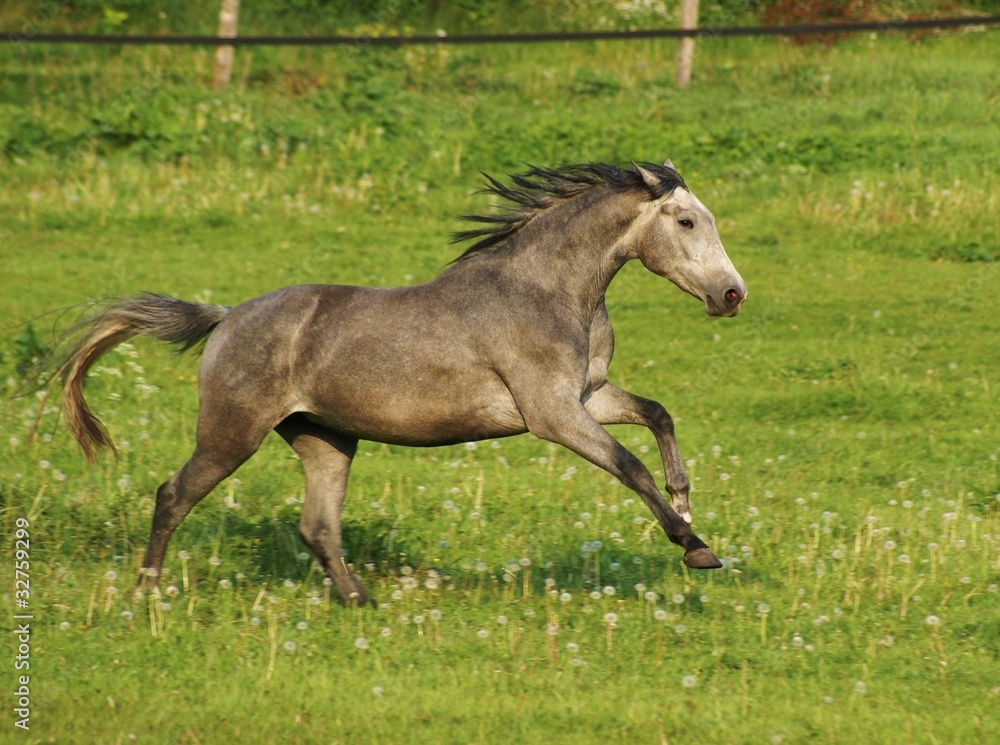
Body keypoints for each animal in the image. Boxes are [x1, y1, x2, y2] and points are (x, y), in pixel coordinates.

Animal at [56, 160, 747, 605]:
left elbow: (658, 414)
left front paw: (686, 503)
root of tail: (225, 319)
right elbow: (629, 465)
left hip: (326, 440)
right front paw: (694, 545)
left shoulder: (587, 397)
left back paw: (361, 601)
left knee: (317, 526)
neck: (548, 291)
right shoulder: (550, 413)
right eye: (687, 222)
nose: (732, 295)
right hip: (232, 434)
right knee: (173, 495)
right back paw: (148, 595)